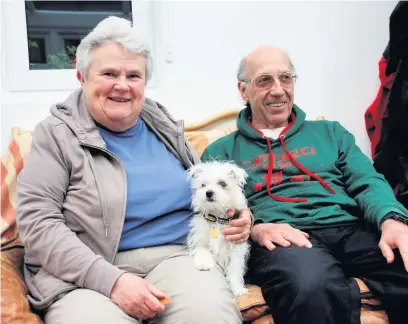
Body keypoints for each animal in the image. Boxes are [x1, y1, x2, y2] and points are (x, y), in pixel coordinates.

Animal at [186, 160, 250, 296]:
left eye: (222, 183)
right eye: (203, 184)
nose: (208, 192)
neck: (217, 220)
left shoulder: (235, 248)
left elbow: (234, 269)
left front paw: (237, 288)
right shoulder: (200, 239)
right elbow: (202, 250)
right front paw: (204, 263)